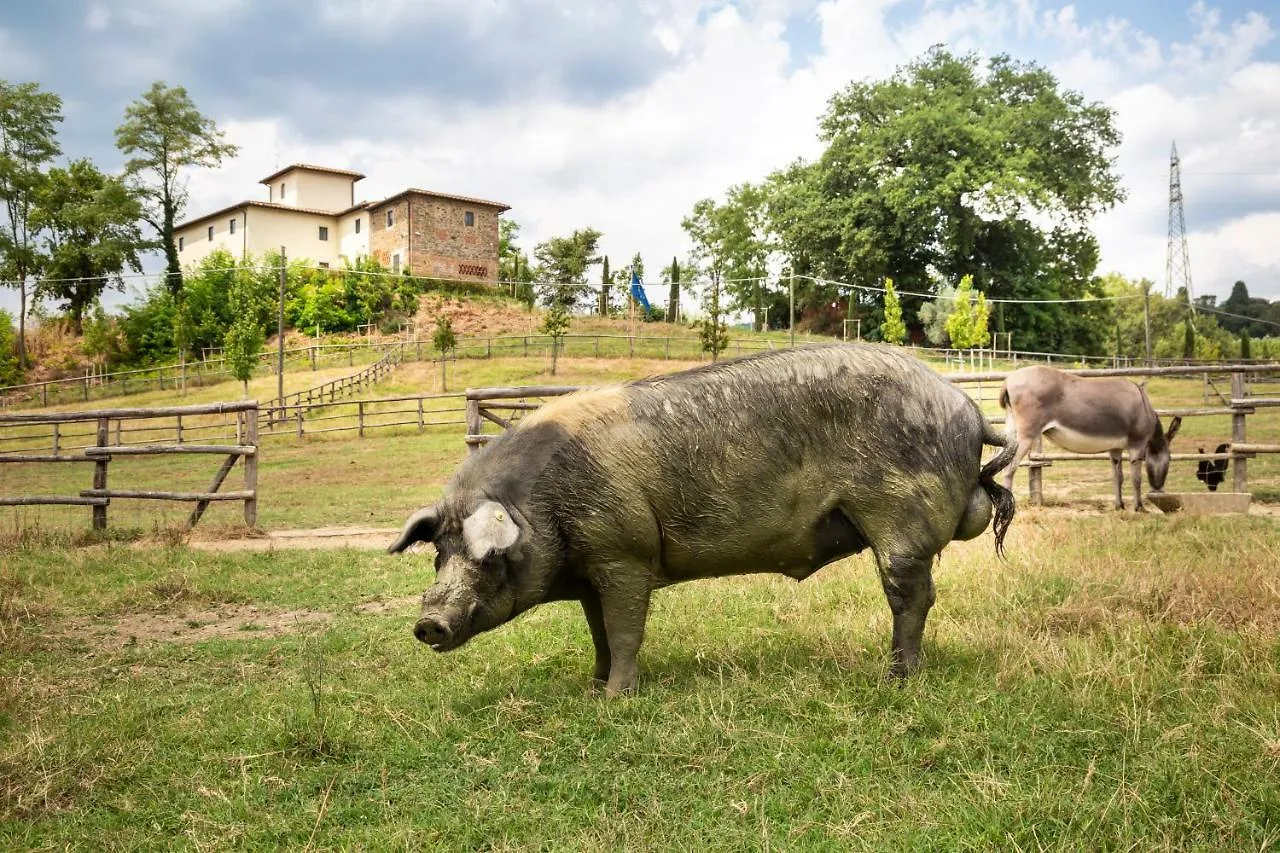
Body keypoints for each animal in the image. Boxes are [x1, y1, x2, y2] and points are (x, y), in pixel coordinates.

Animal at [384, 343, 1013, 696]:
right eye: (439, 554)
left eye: (488, 557)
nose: (429, 623)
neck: (544, 504)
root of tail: (968, 409)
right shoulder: (591, 571)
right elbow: (598, 631)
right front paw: (591, 687)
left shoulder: (625, 555)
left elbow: (626, 629)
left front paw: (615, 699)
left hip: (899, 522)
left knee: (912, 597)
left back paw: (896, 681)